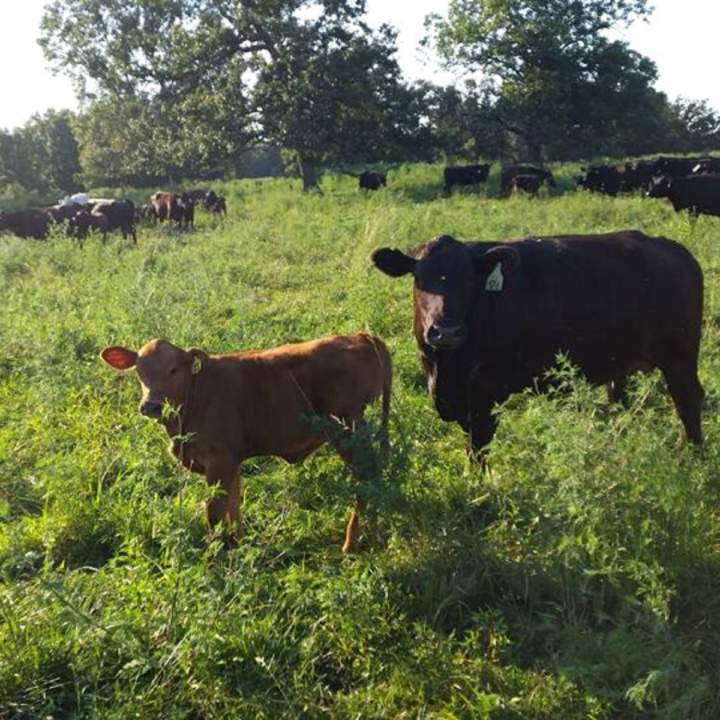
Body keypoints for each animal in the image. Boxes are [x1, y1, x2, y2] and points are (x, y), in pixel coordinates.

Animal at [100, 333, 393, 553]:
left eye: (173, 370)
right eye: (139, 371)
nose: (150, 405)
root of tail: (361, 335)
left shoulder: (219, 462)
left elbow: (214, 513)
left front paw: (215, 560)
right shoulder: (232, 462)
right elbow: (234, 508)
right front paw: (238, 547)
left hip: (347, 429)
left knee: (366, 478)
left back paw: (352, 542)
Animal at [371, 232, 703, 458]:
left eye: (468, 279)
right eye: (419, 278)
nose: (447, 331)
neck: (445, 367)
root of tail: (671, 247)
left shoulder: (484, 397)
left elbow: (478, 450)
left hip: (680, 359)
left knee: (688, 402)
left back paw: (692, 458)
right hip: (623, 363)